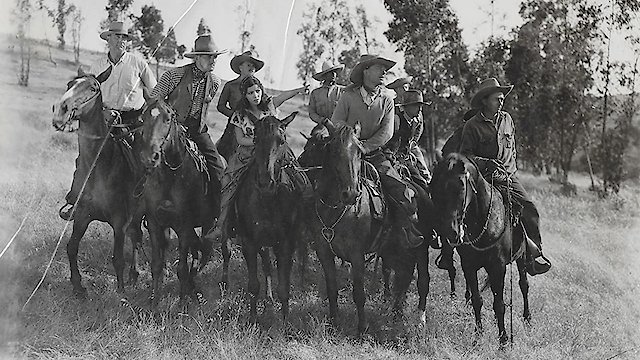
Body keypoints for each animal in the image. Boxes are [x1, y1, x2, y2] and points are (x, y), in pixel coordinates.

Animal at [51, 74, 144, 298]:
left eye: (93, 88)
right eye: (70, 84)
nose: (61, 110)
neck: (101, 166)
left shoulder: (120, 222)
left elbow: (118, 258)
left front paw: (121, 293)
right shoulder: (82, 215)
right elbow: (72, 247)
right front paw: (78, 287)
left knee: (141, 238)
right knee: (136, 236)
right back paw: (133, 275)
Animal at [138, 99, 220, 306]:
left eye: (168, 119)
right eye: (143, 118)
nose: (150, 157)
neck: (170, 178)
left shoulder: (184, 225)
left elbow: (182, 268)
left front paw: (182, 305)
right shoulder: (155, 223)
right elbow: (157, 265)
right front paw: (154, 304)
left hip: (207, 223)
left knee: (203, 252)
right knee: (197, 250)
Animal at [232, 112, 304, 320]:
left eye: (281, 141)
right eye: (255, 139)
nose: (265, 183)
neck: (268, 200)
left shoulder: (286, 244)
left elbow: (284, 288)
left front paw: (286, 321)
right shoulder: (249, 242)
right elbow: (254, 285)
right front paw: (253, 319)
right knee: (266, 265)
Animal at [302, 125, 432, 336]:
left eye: (359, 153)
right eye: (333, 150)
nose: (351, 193)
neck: (336, 208)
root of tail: (417, 188)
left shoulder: (357, 255)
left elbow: (359, 293)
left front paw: (362, 329)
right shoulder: (324, 251)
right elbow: (331, 288)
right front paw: (333, 323)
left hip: (421, 248)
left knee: (422, 282)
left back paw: (419, 321)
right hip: (397, 250)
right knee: (403, 278)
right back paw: (396, 313)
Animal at [432, 153, 532, 346]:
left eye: (461, 186)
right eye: (436, 186)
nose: (450, 231)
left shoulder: (498, 267)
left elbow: (499, 304)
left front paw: (503, 341)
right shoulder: (469, 266)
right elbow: (477, 300)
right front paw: (478, 336)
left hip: (521, 257)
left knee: (524, 285)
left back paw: (527, 319)